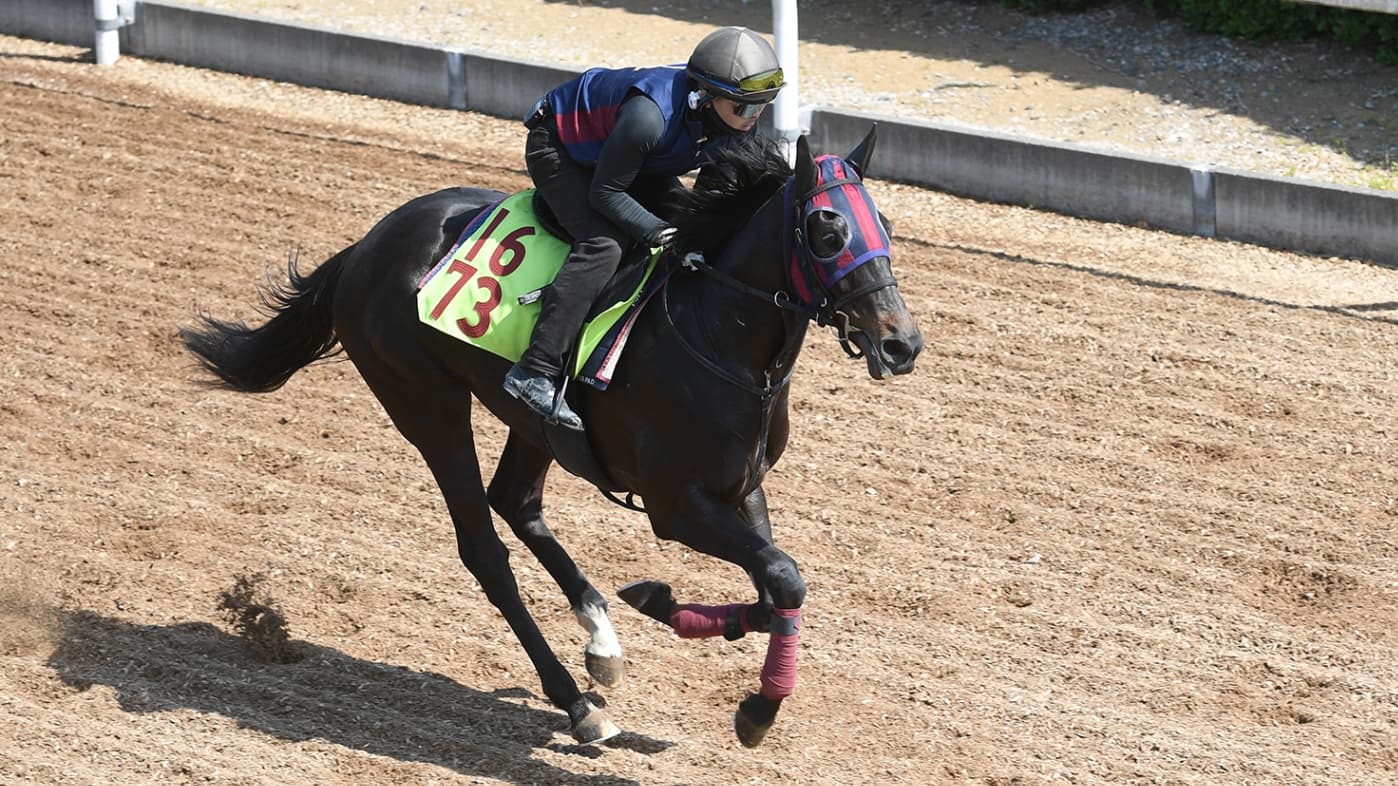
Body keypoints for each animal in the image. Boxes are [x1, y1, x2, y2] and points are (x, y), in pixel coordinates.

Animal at [180, 126, 922, 748]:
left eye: (883, 224)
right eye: (826, 230)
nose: (901, 342)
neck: (716, 334)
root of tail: (365, 246)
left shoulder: (742, 487)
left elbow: (777, 588)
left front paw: (660, 607)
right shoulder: (677, 504)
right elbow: (784, 577)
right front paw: (755, 710)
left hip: (534, 423)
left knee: (518, 502)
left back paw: (602, 640)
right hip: (425, 403)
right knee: (485, 549)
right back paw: (578, 703)